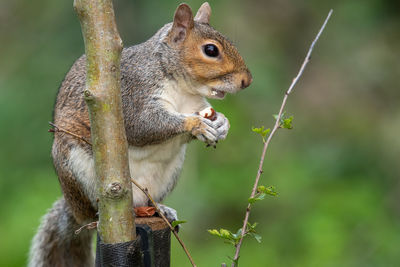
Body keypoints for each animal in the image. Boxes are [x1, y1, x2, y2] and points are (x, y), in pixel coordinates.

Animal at [29, 2, 252, 267]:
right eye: (211, 50)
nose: (247, 81)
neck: (181, 87)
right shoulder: (133, 93)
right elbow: (143, 126)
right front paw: (196, 124)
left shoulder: (195, 102)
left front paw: (222, 124)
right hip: (77, 169)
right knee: (93, 214)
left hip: (168, 174)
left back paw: (161, 210)